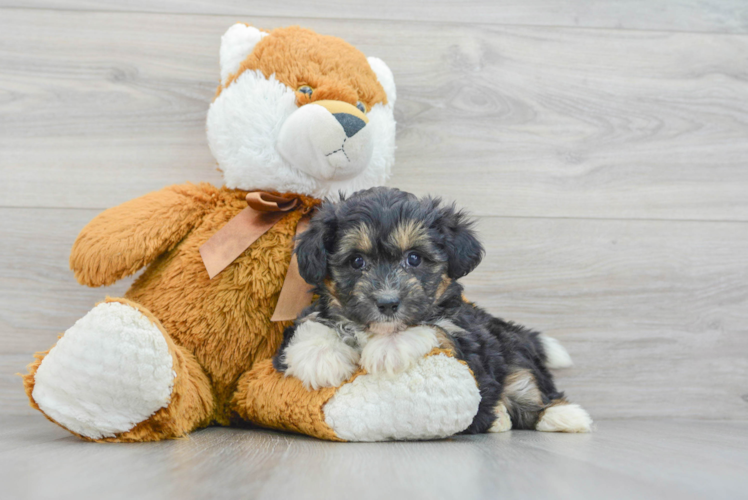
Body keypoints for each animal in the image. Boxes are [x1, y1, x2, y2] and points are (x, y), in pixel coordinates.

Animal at [272, 188, 592, 434]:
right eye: (356, 261)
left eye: (414, 258)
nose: (388, 303)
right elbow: (312, 323)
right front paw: (320, 357)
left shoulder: (468, 345)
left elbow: (437, 326)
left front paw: (390, 346)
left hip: (511, 356)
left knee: (529, 388)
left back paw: (563, 415)